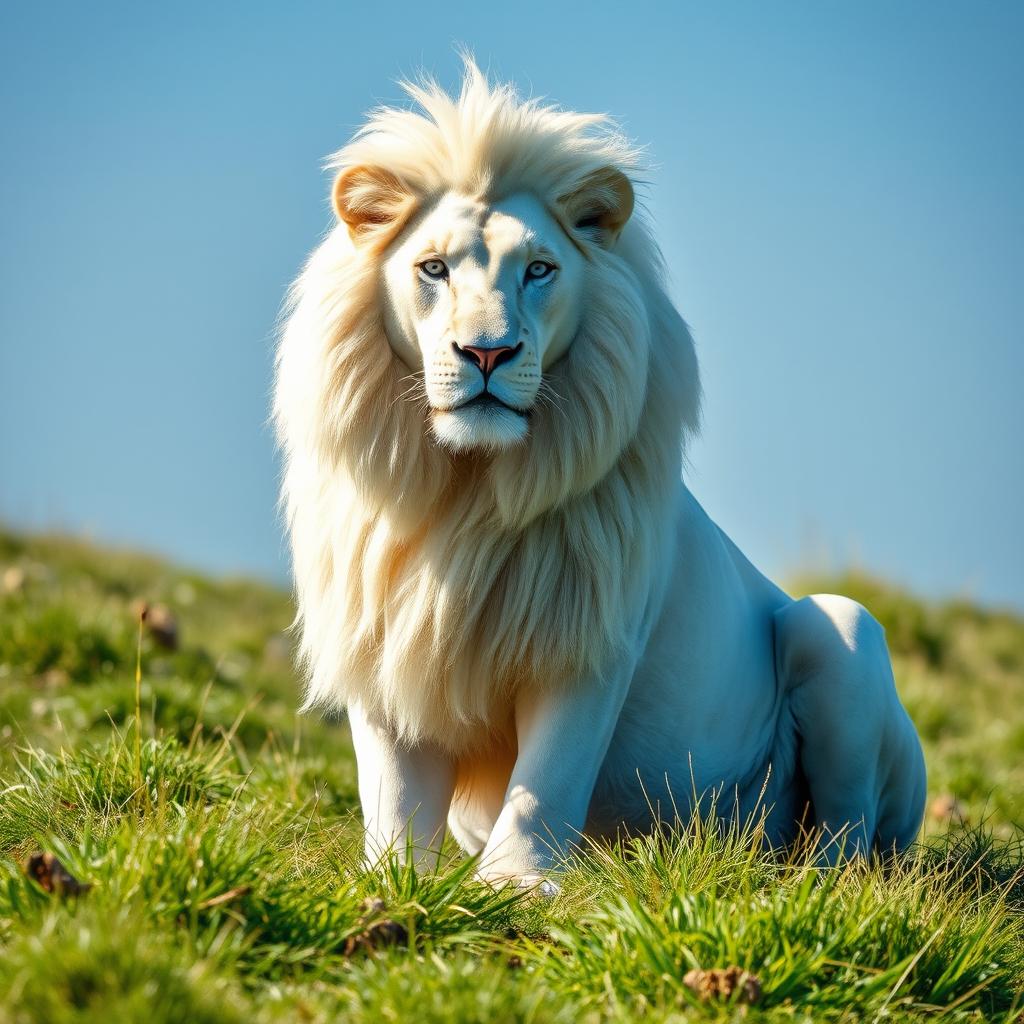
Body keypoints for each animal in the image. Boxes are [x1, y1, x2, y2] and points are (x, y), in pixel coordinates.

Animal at [274, 63, 926, 891]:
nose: (486, 352)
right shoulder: (380, 641)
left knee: (851, 834)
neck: (466, 494)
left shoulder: (592, 640)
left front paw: (516, 883)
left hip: (842, 629)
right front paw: (394, 885)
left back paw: (799, 887)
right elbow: (392, 795)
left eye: (539, 270)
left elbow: (548, 775)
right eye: (433, 268)